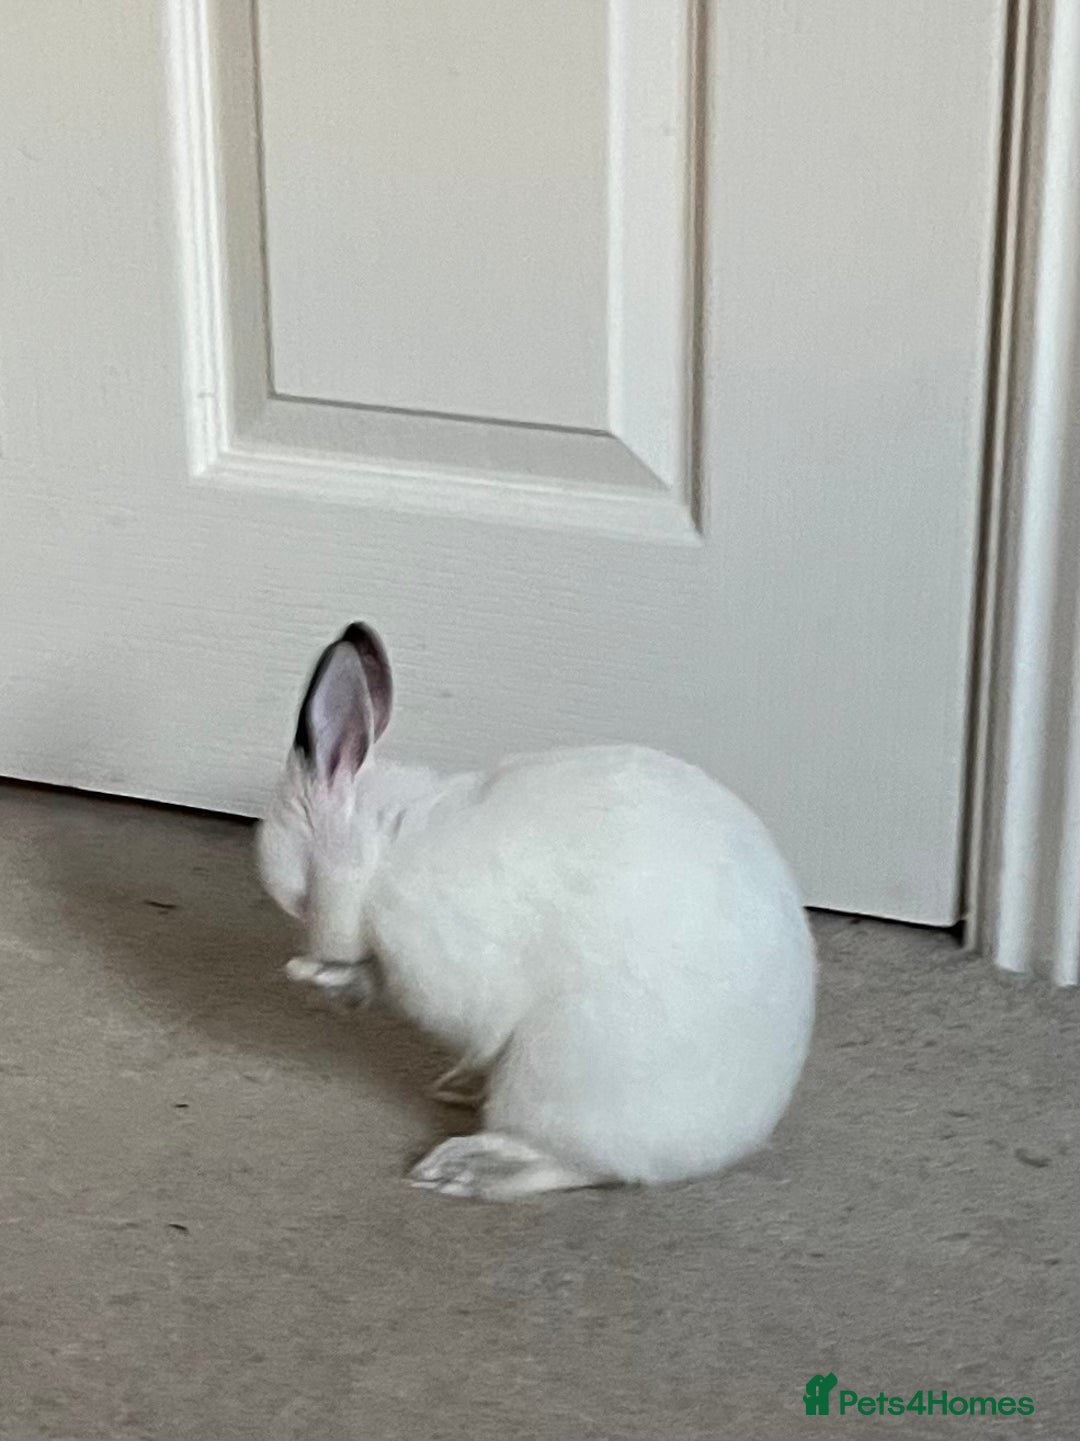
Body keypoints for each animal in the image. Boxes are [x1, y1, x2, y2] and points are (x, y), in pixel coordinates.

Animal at [256, 622, 816, 1202]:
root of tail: (735, 1139)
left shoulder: (447, 964)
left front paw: (321, 976)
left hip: (554, 1081)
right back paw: (459, 1088)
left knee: (576, 1164)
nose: (313, 951)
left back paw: (463, 1168)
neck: (385, 852)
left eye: (302, 897)